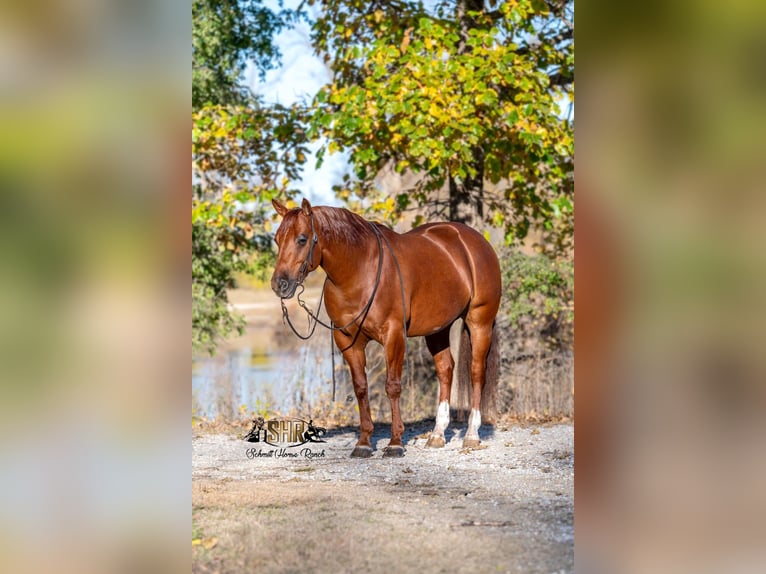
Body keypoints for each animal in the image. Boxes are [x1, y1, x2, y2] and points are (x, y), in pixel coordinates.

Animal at [270, 198, 501, 458]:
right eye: (277, 239)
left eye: (302, 239)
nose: (279, 284)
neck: (359, 271)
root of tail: (475, 240)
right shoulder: (347, 341)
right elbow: (361, 388)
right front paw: (363, 443)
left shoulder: (393, 336)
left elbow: (392, 387)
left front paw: (395, 442)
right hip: (437, 330)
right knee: (445, 370)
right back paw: (437, 434)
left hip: (479, 321)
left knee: (476, 372)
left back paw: (471, 434)